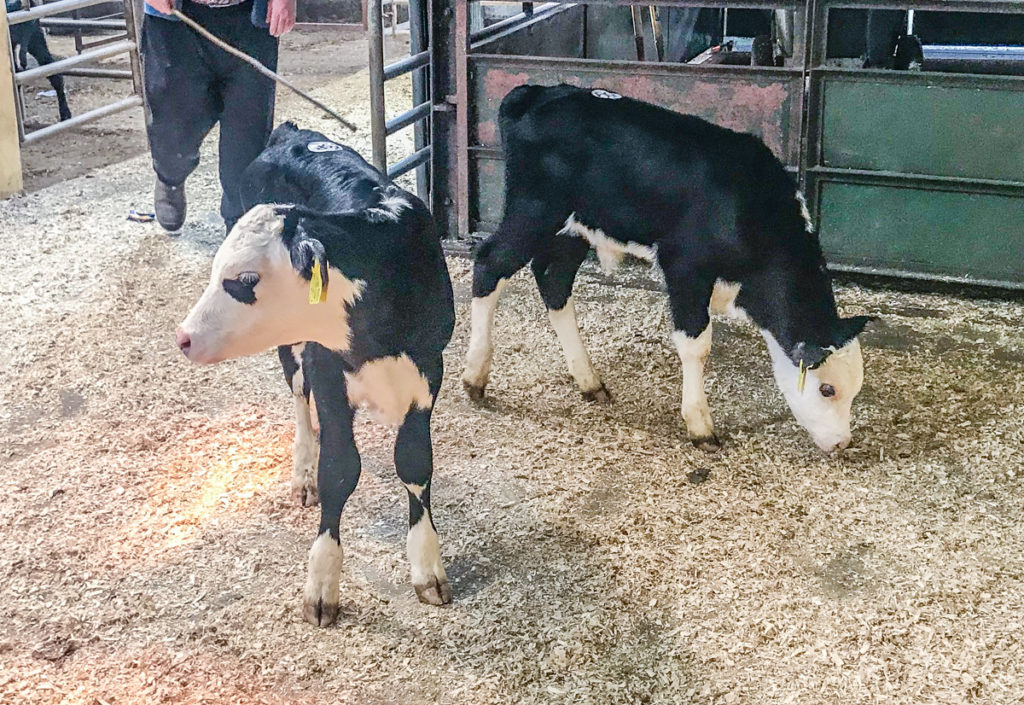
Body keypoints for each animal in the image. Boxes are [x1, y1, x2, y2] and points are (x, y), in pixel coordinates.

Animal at [176, 124, 456, 625]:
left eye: (246, 279)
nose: (183, 337)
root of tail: (291, 131)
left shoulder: (428, 374)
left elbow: (415, 464)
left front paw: (427, 566)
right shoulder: (326, 372)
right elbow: (338, 472)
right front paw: (322, 584)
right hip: (293, 351)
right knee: (298, 398)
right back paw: (303, 471)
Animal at [462, 84, 874, 454]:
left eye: (855, 389)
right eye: (827, 388)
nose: (842, 443)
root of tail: (537, 91)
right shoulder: (685, 266)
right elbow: (697, 345)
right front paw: (700, 425)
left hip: (575, 228)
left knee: (554, 280)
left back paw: (589, 381)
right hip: (534, 209)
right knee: (489, 264)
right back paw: (475, 376)